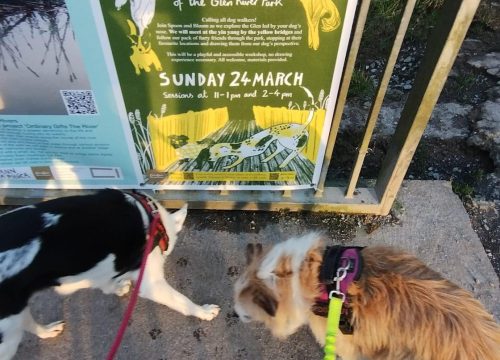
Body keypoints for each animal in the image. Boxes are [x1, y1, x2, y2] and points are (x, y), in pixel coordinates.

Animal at [0, 188, 219, 360]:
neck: (152, 215)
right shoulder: (152, 284)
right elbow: (183, 301)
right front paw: (203, 311)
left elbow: (103, 281)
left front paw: (118, 286)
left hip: (14, 316)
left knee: (27, 323)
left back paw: (47, 331)